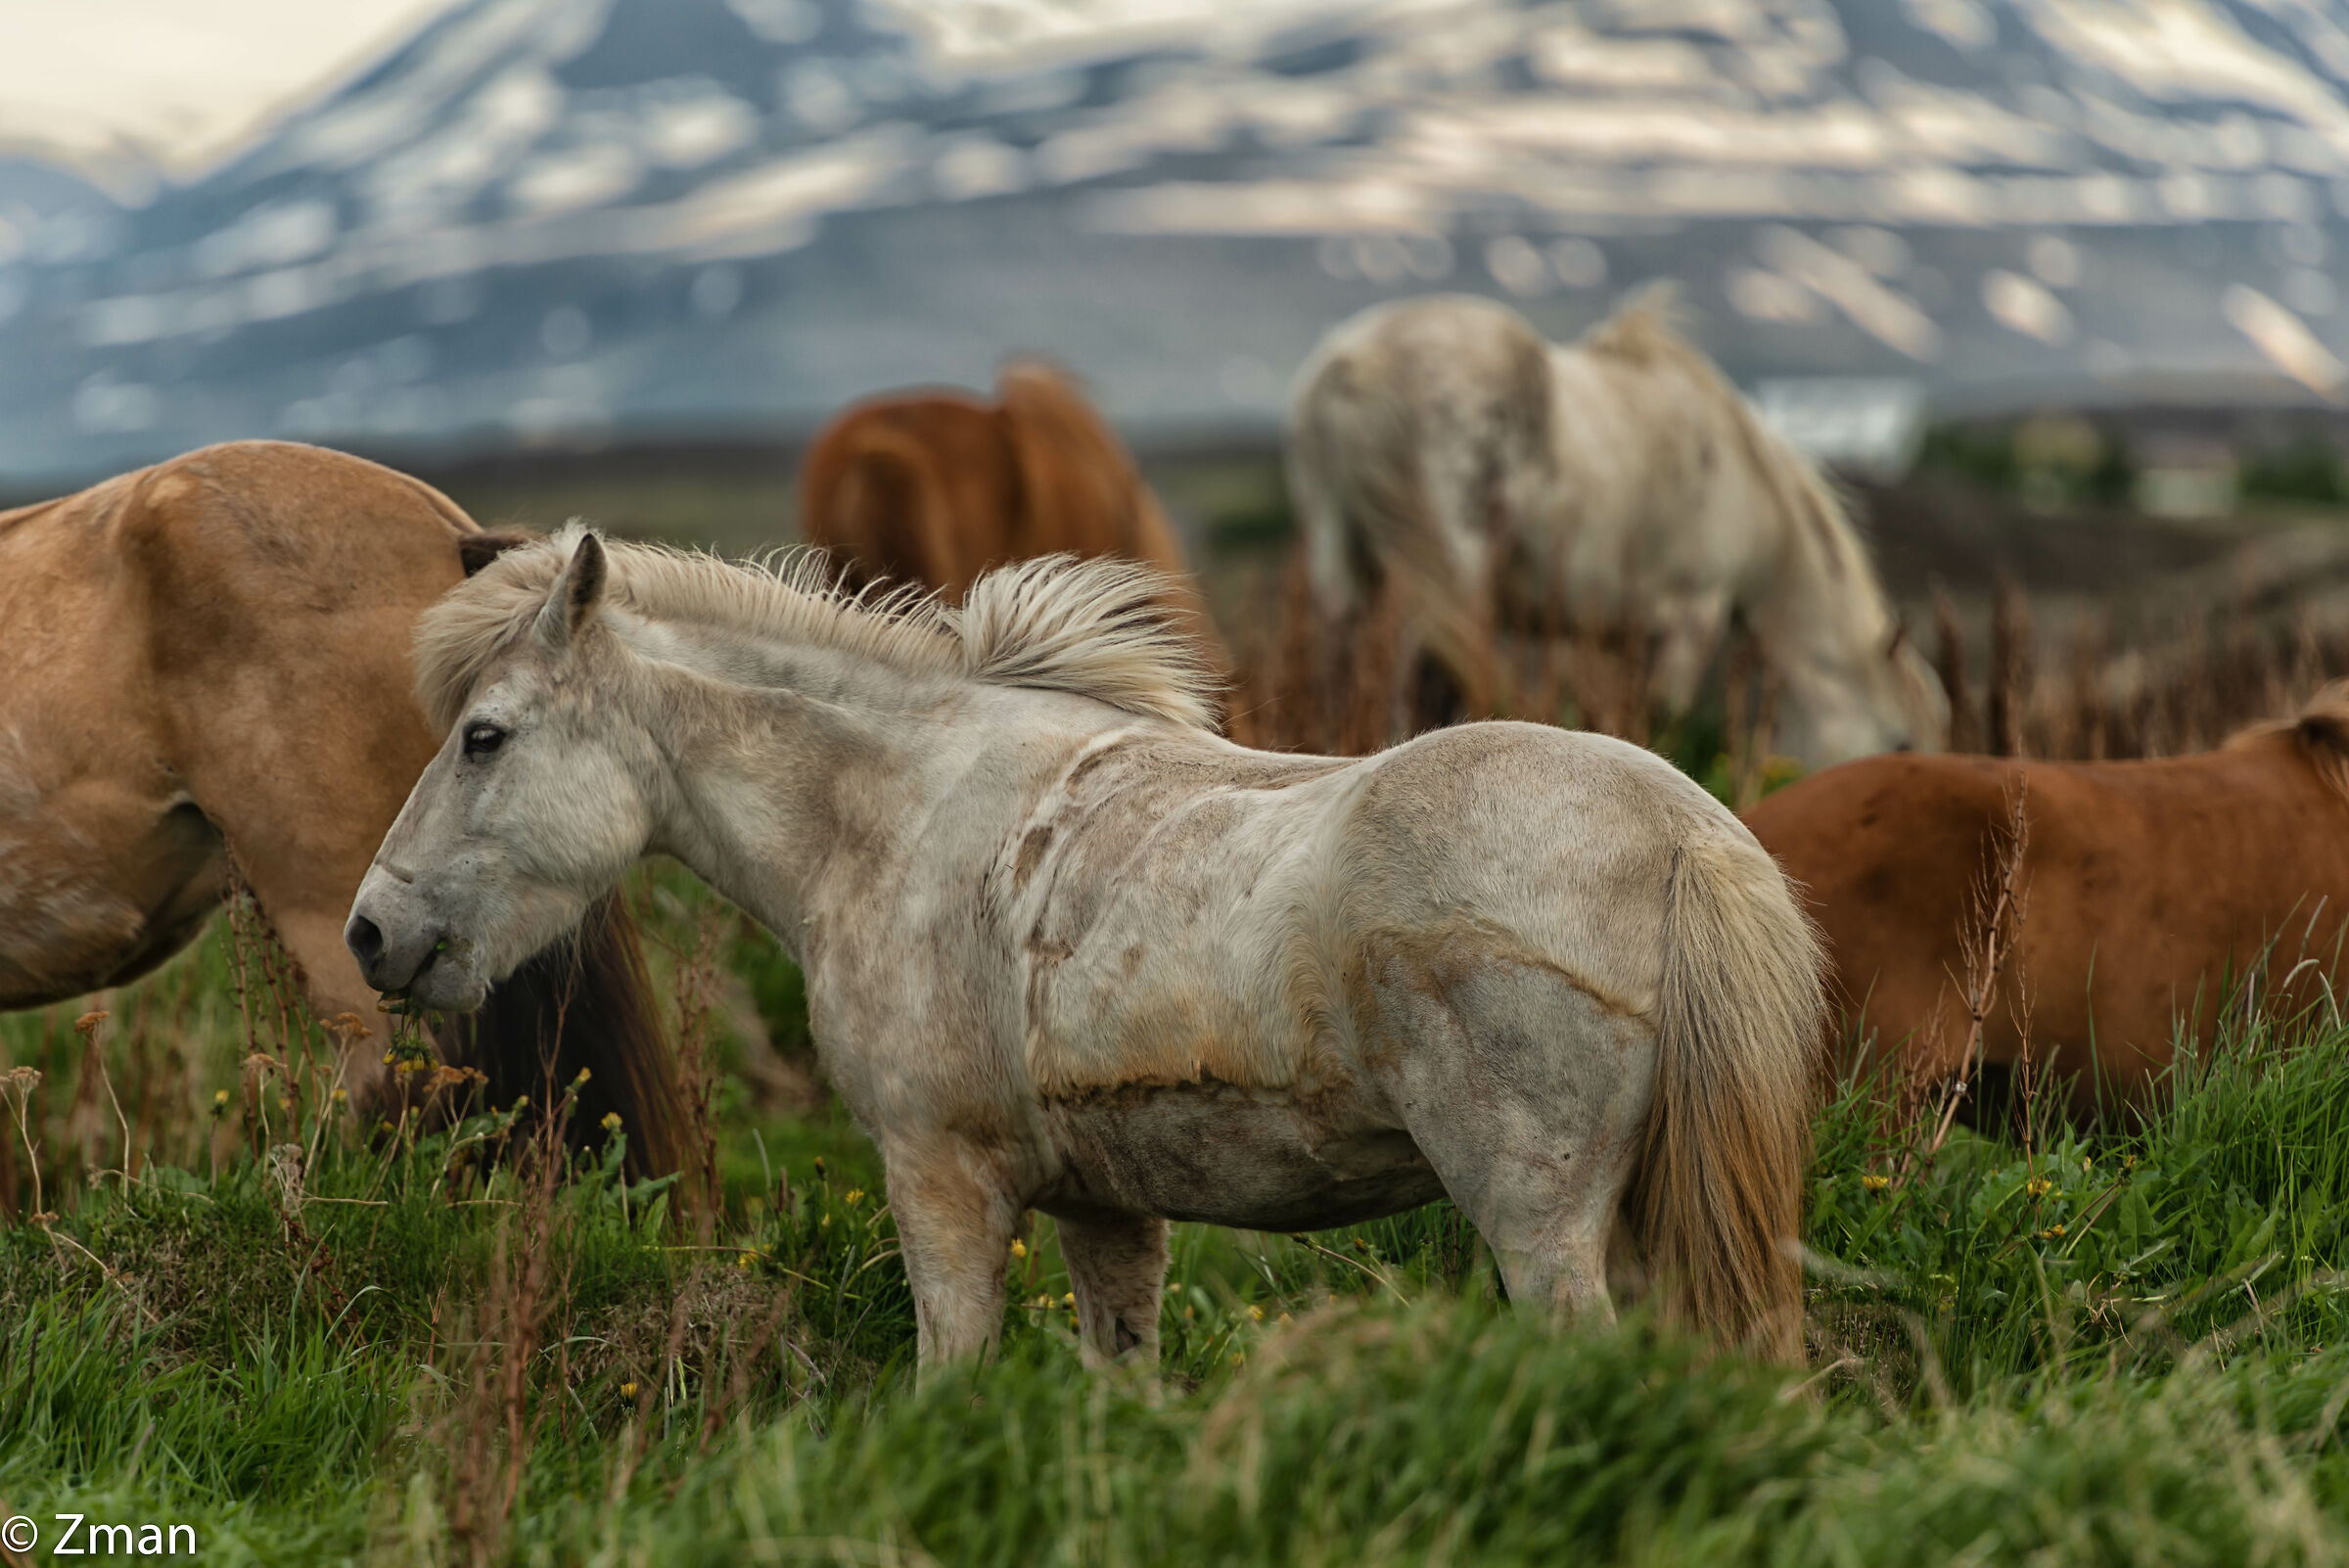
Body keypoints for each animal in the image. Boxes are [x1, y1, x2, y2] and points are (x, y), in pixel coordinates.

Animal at [344, 527, 1826, 1371]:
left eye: (483, 736)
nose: (373, 929)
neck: (898, 810)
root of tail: (1688, 834)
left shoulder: (940, 1181)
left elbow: (951, 1375)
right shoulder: (1106, 1208)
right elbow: (1126, 1379)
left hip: (1543, 1224)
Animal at [1286, 293, 1947, 764]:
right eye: (1901, 742)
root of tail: (1352, 366)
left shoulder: (1625, 635)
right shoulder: (1692, 616)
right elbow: (1666, 722)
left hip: (1342, 568)